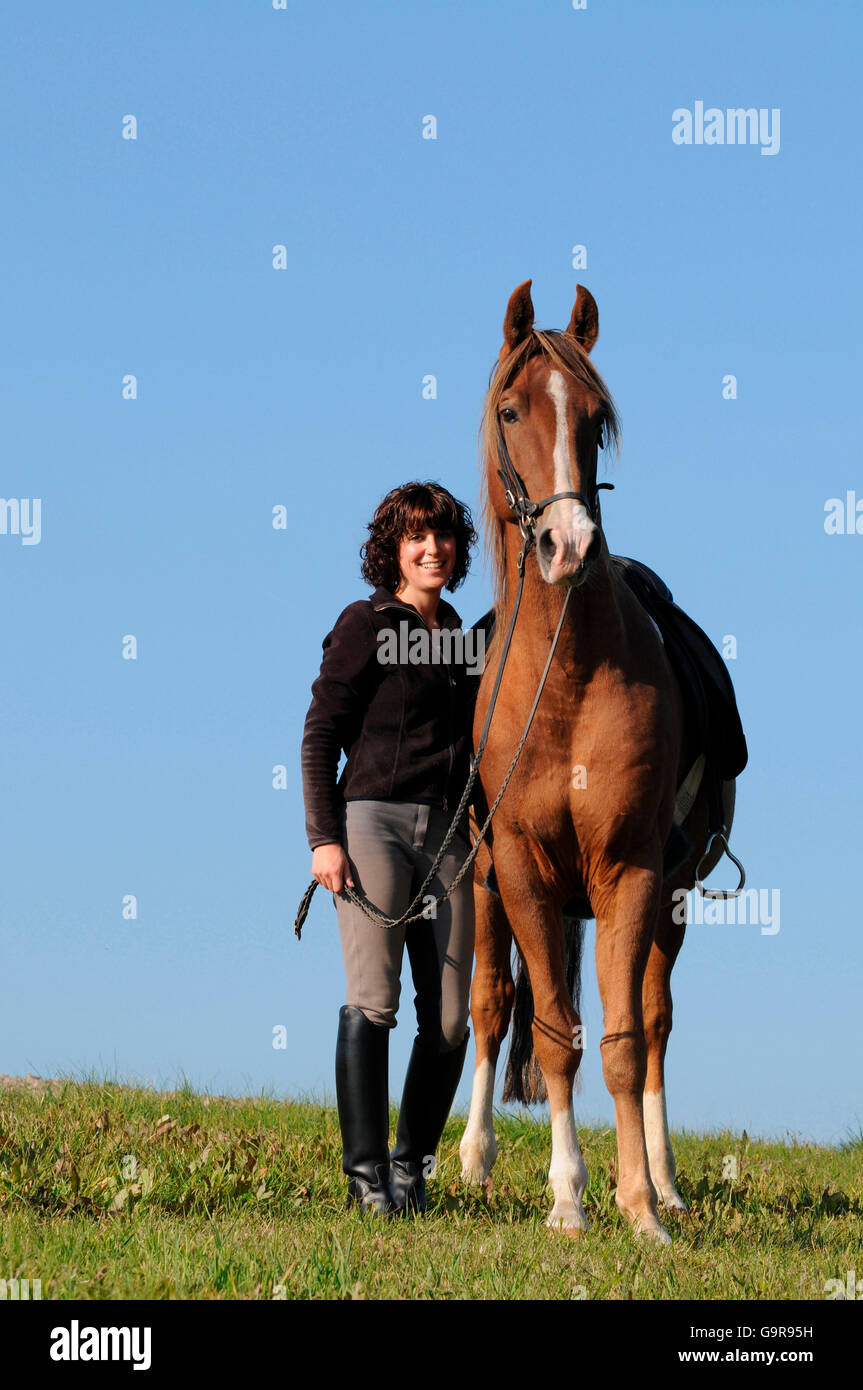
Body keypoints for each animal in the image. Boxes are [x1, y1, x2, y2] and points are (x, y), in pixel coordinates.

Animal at [458, 276, 733, 1245]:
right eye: (511, 410)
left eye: (595, 418)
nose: (568, 546)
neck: (566, 681)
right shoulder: (520, 870)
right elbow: (549, 1032)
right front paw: (568, 1196)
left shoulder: (631, 871)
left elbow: (619, 1042)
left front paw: (639, 1204)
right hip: (481, 887)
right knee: (489, 1007)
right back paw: (472, 1161)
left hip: (671, 903)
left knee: (651, 1022)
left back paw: (666, 1179)